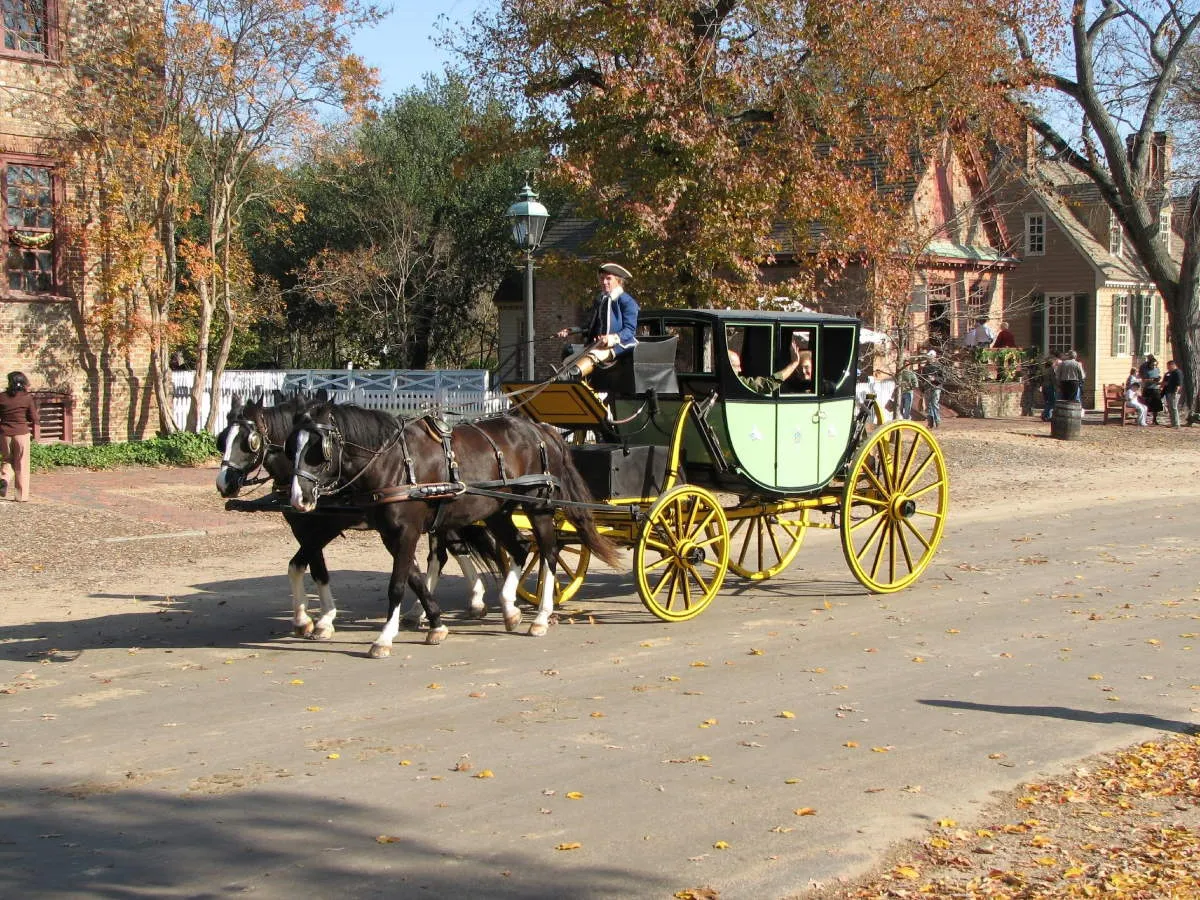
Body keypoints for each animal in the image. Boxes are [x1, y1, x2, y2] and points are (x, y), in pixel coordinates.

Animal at [283, 405, 619, 657]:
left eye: (318, 450)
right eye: (291, 448)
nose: (299, 499)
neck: (395, 462)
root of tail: (541, 430)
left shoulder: (405, 532)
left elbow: (397, 585)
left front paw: (384, 638)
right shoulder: (391, 534)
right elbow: (416, 579)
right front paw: (435, 623)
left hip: (538, 508)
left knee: (548, 553)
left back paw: (540, 617)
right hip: (497, 511)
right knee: (521, 549)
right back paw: (509, 608)